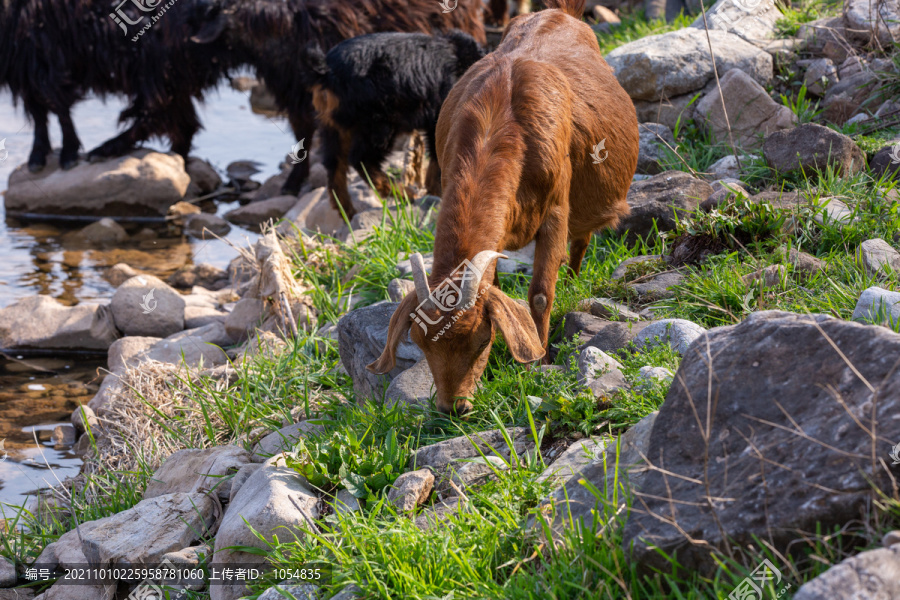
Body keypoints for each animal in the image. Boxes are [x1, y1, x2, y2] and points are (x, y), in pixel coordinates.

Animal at [0, 0, 239, 172]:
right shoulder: (24, 65)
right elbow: (39, 112)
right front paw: (37, 158)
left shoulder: (42, 56)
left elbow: (57, 107)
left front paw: (68, 156)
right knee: (181, 122)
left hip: (156, 69)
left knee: (161, 114)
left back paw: (106, 149)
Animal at [304, 30, 486, 218]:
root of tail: (326, 71)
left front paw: (434, 191)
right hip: (379, 120)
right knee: (362, 159)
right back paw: (403, 193)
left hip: (333, 125)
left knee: (335, 165)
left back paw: (347, 211)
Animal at [368, 0, 640, 414]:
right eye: (418, 342)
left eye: (480, 339)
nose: (454, 408)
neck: (499, 126)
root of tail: (561, 12)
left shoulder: (555, 210)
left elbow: (541, 293)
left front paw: (538, 362)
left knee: (581, 239)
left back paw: (573, 278)